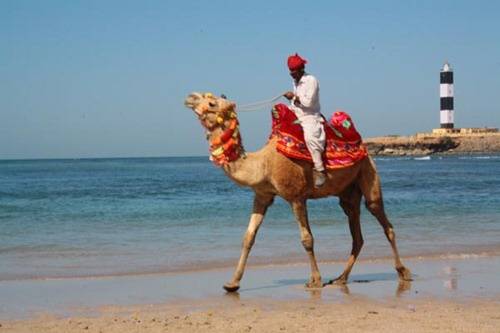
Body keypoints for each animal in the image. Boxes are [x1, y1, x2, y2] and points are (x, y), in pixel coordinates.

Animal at [184, 91, 410, 290]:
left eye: (212, 102)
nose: (190, 97)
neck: (264, 164)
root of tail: (364, 147)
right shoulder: (262, 195)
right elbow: (248, 237)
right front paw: (232, 283)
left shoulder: (296, 197)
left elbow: (307, 239)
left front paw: (315, 281)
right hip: (348, 193)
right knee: (357, 234)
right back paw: (341, 278)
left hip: (368, 171)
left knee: (383, 219)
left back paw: (403, 272)